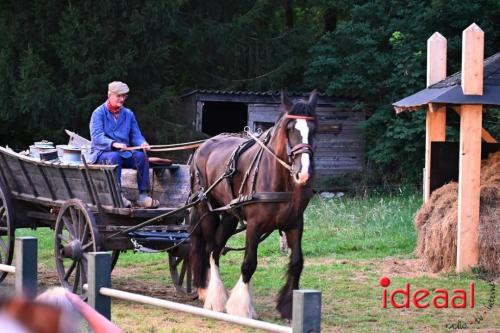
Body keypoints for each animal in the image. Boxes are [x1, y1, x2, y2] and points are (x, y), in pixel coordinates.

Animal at [188, 89, 316, 318]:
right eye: (290, 129)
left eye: (314, 129)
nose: (303, 173)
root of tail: (203, 145)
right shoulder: (255, 225)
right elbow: (249, 264)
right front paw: (241, 307)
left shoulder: (295, 224)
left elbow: (297, 262)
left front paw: (288, 306)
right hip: (206, 208)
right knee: (209, 247)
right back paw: (211, 295)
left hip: (229, 215)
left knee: (215, 248)